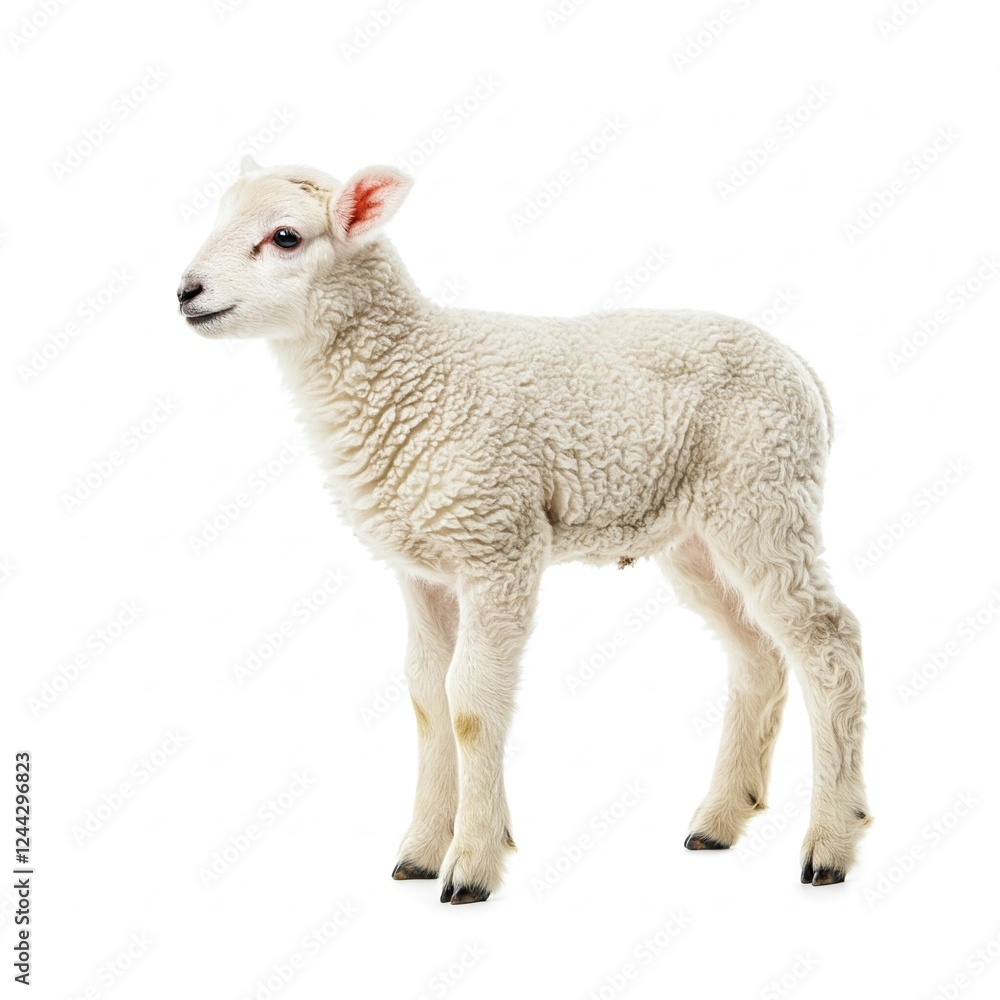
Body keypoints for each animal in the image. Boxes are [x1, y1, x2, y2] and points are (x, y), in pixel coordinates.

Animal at [177, 156, 871, 903]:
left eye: (285, 237)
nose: (186, 292)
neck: (411, 373)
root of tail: (803, 370)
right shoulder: (423, 568)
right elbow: (427, 699)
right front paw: (421, 851)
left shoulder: (498, 543)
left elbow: (471, 703)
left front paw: (472, 863)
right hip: (699, 532)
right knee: (757, 656)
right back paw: (719, 819)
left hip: (765, 493)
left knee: (829, 644)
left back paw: (831, 842)